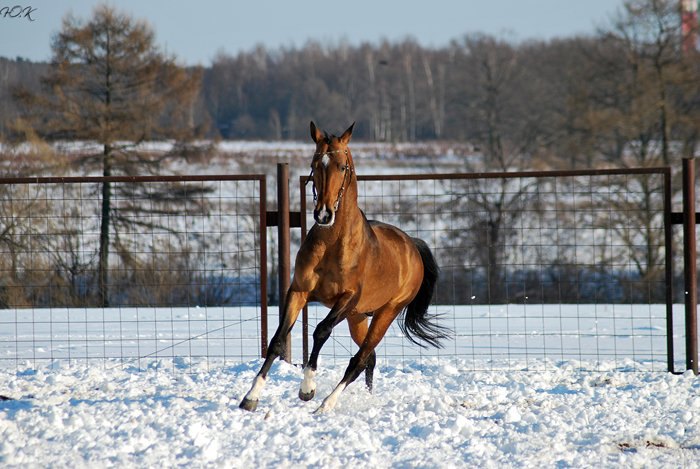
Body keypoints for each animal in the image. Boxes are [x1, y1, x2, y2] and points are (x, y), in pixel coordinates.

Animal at [241, 121, 448, 414]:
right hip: (358, 317)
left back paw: (326, 404)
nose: (323, 214)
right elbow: (278, 340)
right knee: (370, 358)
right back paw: (365, 397)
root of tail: (412, 246)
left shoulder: (347, 299)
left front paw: (307, 389)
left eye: (342, 166)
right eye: (315, 163)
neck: (333, 243)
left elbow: (321, 331)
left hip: (385, 313)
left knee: (360, 358)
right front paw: (251, 397)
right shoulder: (299, 291)